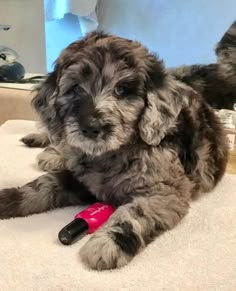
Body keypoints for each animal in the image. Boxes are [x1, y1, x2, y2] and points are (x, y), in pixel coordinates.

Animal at [0, 30, 229, 272]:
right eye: (75, 88)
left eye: (121, 90)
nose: (92, 127)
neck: (110, 154)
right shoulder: (81, 179)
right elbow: (44, 183)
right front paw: (8, 198)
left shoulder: (166, 192)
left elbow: (136, 213)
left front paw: (109, 242)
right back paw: (51, 152)